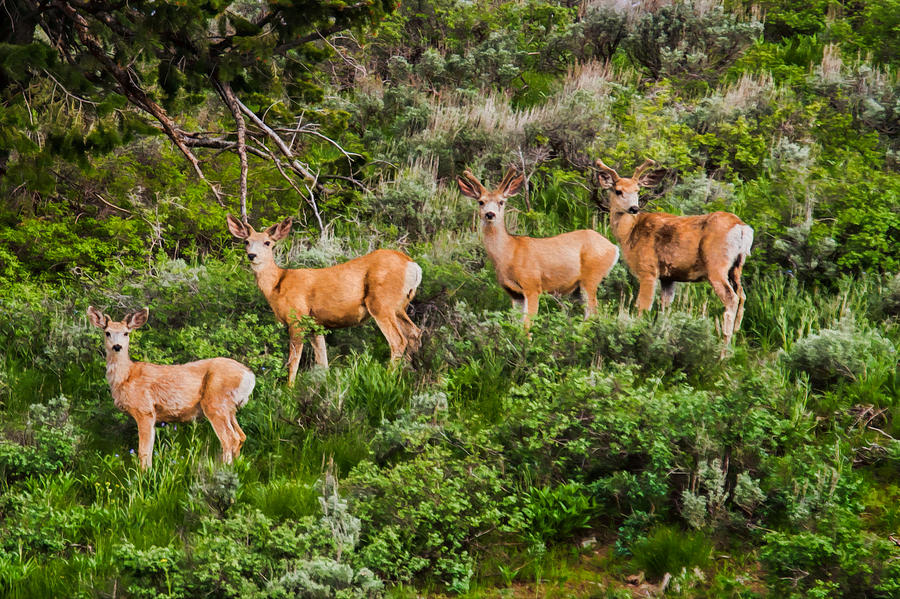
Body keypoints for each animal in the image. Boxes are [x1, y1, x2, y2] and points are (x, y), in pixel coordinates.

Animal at [86, 308, 255, 472]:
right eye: (107, 332)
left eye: (126, 333)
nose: (117, 347)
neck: (126, 377)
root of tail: (249, 376)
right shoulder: (153, 415)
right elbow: (150, 449)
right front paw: (149, 473)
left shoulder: (144, 410)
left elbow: (143, 451)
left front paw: (144, 476)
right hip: (230, 408)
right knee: (241, 436)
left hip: (215, 402)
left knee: (230, 439)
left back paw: (223, 471)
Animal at [225, 213, 422, 386]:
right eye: (247, 242)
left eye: (267, 243)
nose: (252, 255)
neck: (277, 285)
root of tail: (413, 265)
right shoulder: (316, 325)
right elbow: (323, 362)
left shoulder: (297, 318)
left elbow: (293, 361)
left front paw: (289, 389)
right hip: (399, 307)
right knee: (414, 332)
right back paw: (410, 374)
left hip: (381, 303)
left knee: (398, 340)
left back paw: (388, 378)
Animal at [458, 168, 620, 328]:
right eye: (481, 202)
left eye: (501, 202)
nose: (490, 214)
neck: (509, 253)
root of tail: (614, 248)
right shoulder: (514, 293)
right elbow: (516, 323)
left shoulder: (532, 285)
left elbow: (527, 324)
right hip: (579, 287)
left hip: (591, 276)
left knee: (592, 313)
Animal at [596, 157, 752, 352]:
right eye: (618, 191)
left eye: (637, 190)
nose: (634, 208)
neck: (629, 234)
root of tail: (742, 227)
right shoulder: (668, 277)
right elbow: (665, 309)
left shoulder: (648, 270)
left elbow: (643, 306)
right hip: (737, 266)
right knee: (742, 295)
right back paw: (735, 338)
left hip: (717, 265)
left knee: (731, 298)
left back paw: (723, 350)